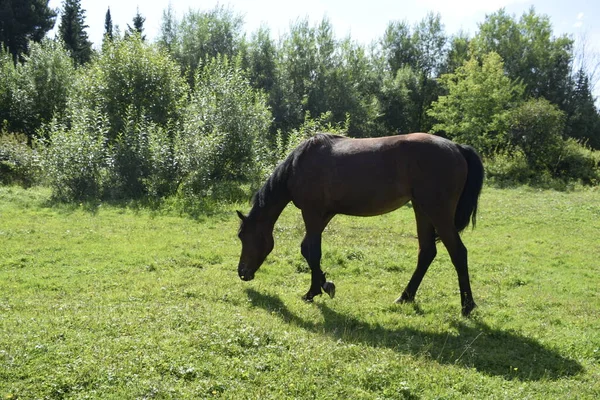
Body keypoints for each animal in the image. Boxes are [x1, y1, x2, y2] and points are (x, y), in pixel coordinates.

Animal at [237, 133, 486, 318]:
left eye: (242, 236)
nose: (242, 273)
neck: (298, 165)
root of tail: (457, 147)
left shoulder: (312, 213)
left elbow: (311, 251)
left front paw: (315, 290)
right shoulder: (324, 215)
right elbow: (308, 250)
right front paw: (322, 285)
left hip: (437, 212)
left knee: (458, 253)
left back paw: (467, 306)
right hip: (422, 209)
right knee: (427, 252)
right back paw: (405, 297)